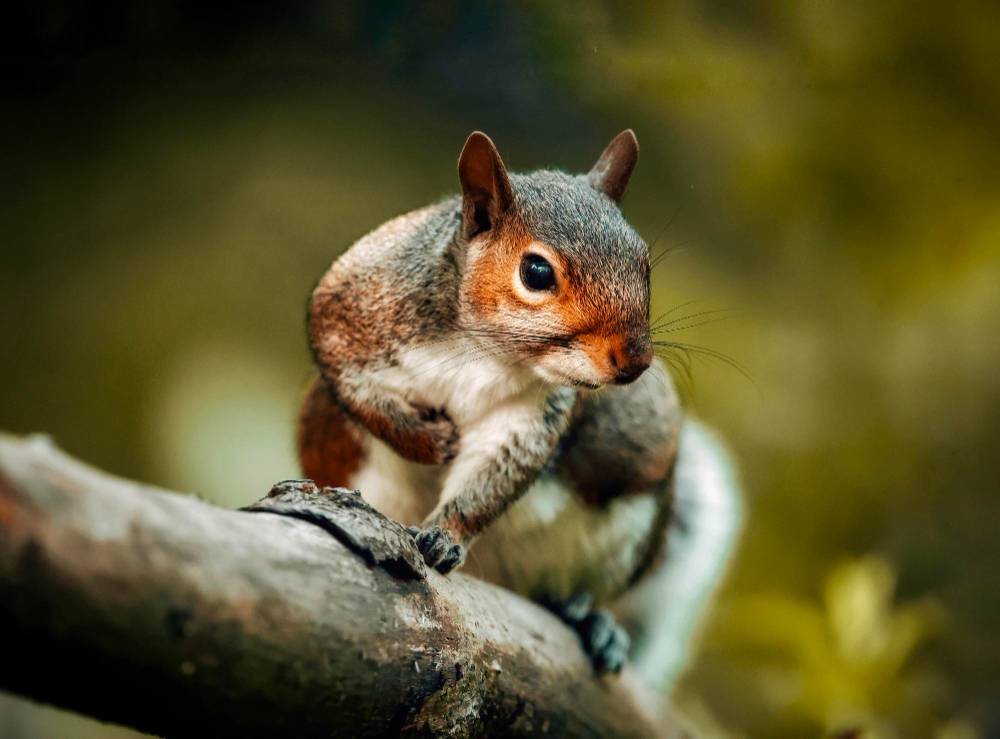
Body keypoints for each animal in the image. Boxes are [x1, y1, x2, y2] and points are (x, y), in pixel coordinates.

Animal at [292, 130, 740, 692]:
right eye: (536, 272)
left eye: (644, 264)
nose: (636, 361)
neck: (483, 347)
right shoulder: (354, 304)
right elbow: (349, 379)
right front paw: (428, 440)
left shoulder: (531, 413)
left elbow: (497, 470)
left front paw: (445, 535)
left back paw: (592, 623)